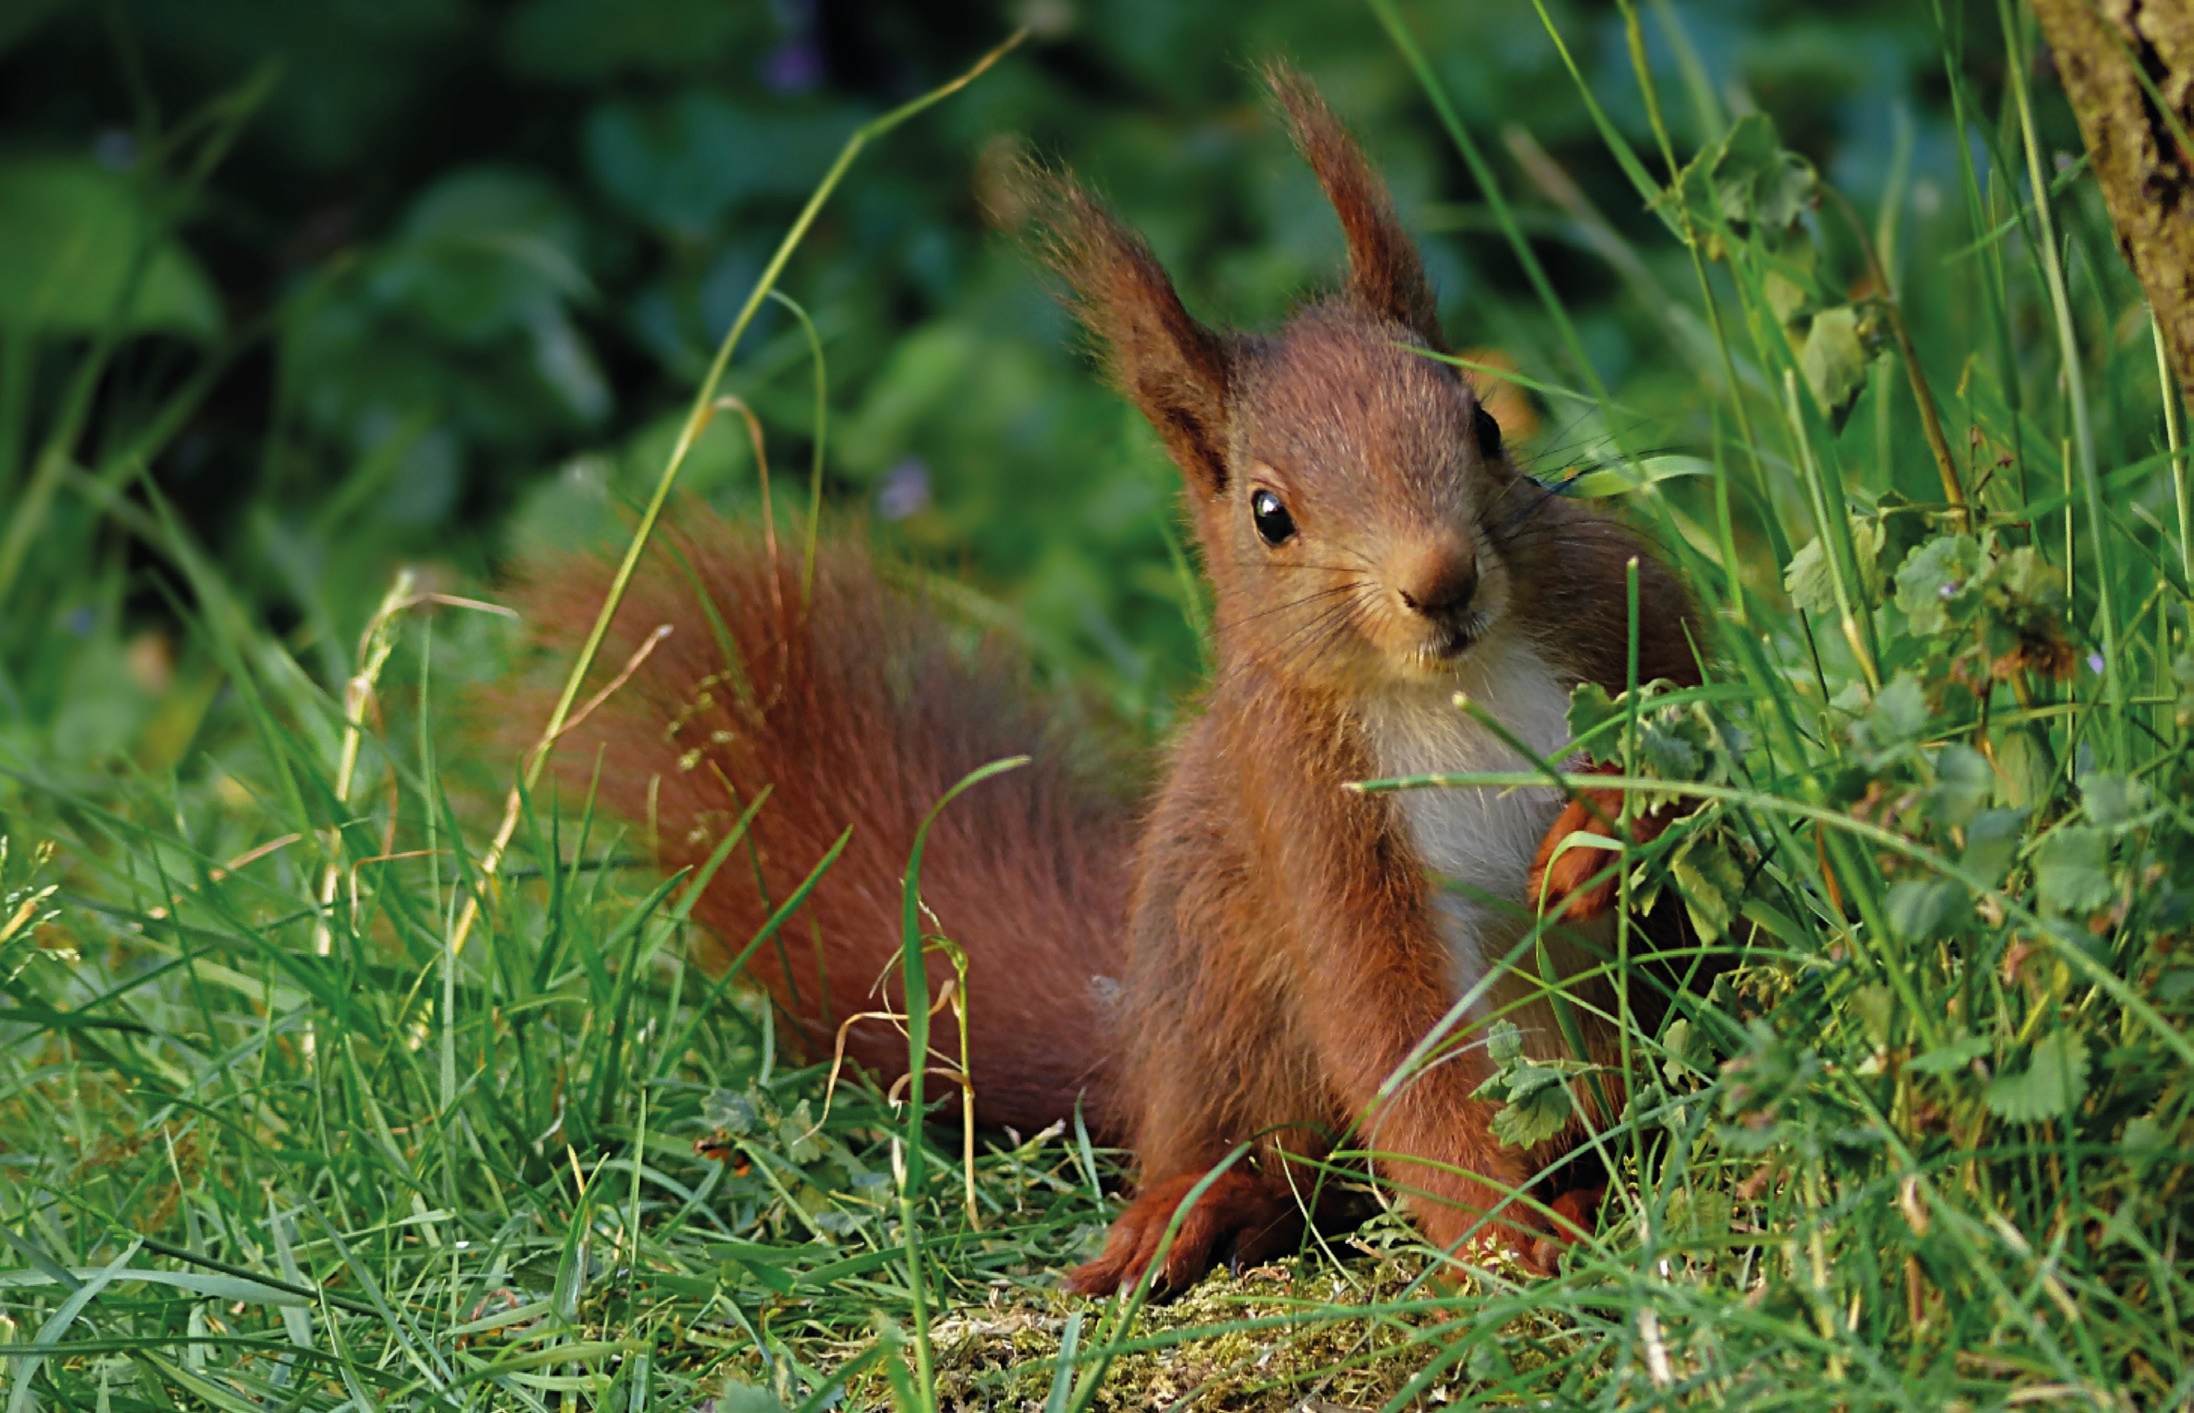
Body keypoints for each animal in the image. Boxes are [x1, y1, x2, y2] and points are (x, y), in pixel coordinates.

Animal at [511, 63, 1700, 1297]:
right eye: (1268, 514)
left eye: (1480, 423)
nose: (1441, 580)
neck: (1439, 685)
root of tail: (1130, 1042)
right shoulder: (1306, 806)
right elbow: (1391, 1022)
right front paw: (1502, 1232)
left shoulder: (1620, 598)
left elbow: (1703, 722)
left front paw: (1605, 834)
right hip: (1220, 997)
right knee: (1273, 1152)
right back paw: (1199, 1208)